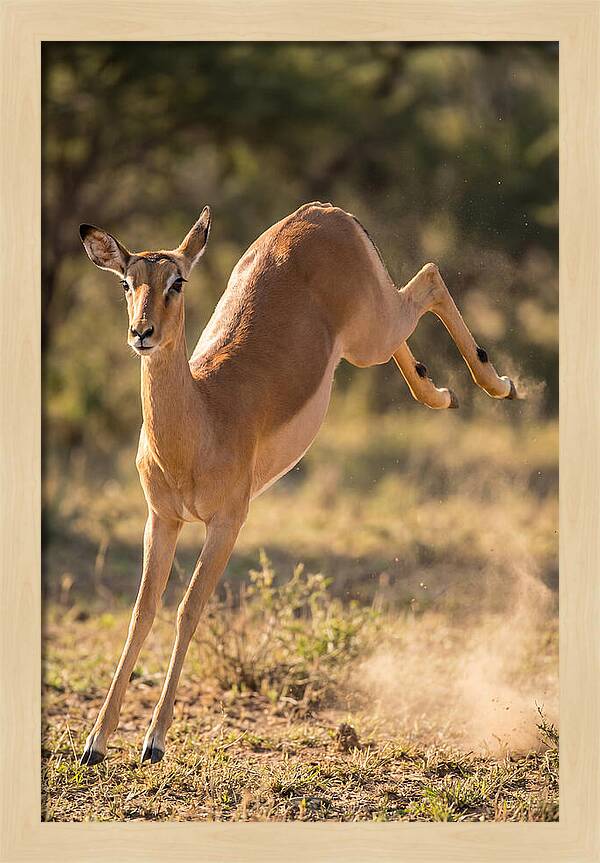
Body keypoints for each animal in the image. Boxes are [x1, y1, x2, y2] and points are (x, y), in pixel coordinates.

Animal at [78, 202, 518, 766]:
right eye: (126, 283)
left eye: (177, 281)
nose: (142, 333)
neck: (201, 417)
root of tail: (324, 211)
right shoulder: (163, 518)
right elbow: (140, 613)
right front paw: (95, 741)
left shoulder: (227, 522)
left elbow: (188, 609)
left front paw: (153, 740)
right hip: (367, 339)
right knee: (415, 316)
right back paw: (442, 393)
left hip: (371, 331)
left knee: (430, 277)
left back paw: (498, 385)